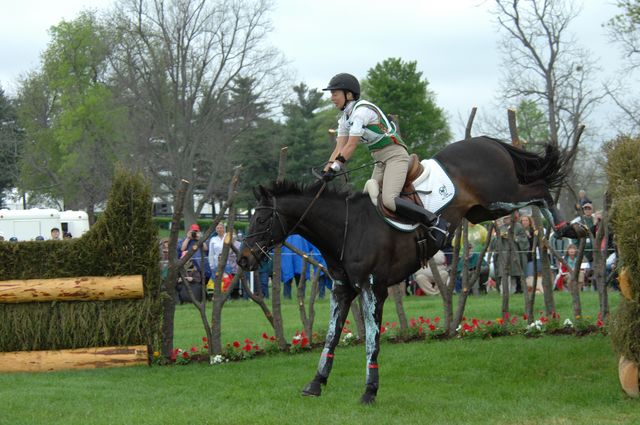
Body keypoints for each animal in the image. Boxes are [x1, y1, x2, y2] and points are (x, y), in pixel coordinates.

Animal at [238, 137, 584, 404]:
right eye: (251, 219)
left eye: (261, 220)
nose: (243, 260)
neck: (347, 229)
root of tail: (486, 141)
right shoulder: (342, 289)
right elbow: (332, 337)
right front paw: (316, 382)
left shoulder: (372, 289)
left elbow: (372, 341)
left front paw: (369, 391)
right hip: (482, 211)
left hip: (502, 196)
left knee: (540, 190)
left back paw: (571, 227)